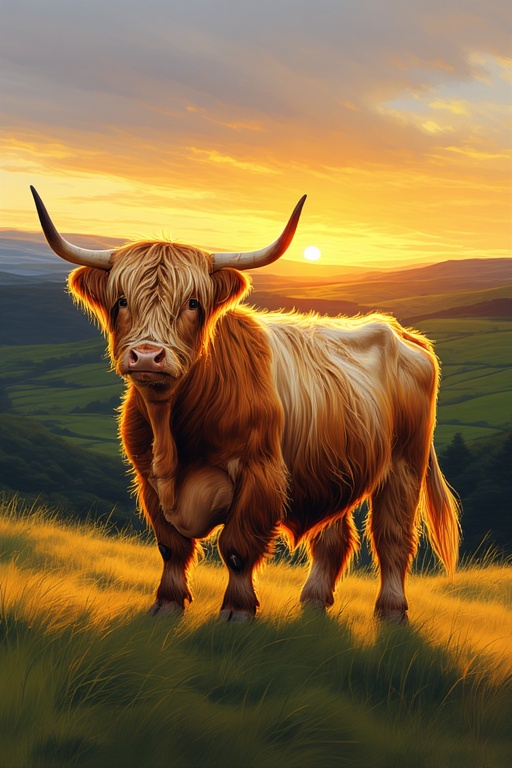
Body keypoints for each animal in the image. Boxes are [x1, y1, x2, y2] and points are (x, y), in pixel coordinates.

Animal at [31, 186, 460, 623]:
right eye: (120, 300)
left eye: (193, 302)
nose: (148, 356)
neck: (171, 431)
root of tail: (399, 330)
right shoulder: (147, 479)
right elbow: (171, 547)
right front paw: (166, 604)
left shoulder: (259, 474)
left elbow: (237, 548)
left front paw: (237, 611)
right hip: (335, 463)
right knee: (333, 537)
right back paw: (313, 602)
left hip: (404, 462)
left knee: (392, 537)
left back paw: (391, 611)